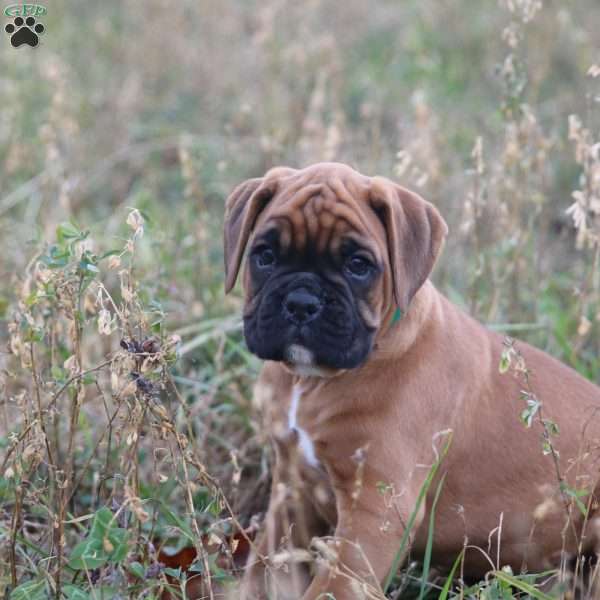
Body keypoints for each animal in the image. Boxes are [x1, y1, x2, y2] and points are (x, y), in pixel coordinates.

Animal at [223, 162, 600, 596]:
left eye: (358, 265)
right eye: (265, 256)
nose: (302, 303)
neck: (316, 381)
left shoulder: (375, 512)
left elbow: (333, 586)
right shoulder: (293, 494)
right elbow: (264, 572)